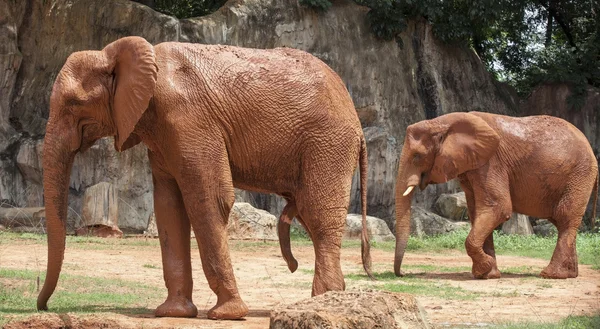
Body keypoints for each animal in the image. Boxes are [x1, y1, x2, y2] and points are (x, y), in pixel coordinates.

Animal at [38, 36, 370, 318]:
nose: (43, 306)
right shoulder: (163, 134)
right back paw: (333, 299)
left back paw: (322, 301)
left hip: (328, 142)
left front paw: (227, 314)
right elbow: (168, 207)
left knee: (318, 213)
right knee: (309, 215)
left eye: (73, 104)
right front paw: (173, 313)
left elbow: (209, 200)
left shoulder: (189, 120)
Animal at [394, 112, 596, 280]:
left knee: (565, 216)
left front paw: (484, 269)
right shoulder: (472, 165)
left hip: (580, 174)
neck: (443, 121)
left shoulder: (492, 162)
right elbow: (478, 211)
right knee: (563, 221)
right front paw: (486, 275)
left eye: (417, 156)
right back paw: (570, 274)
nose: (403, 274)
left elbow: (497, 207)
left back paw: (551, 275)